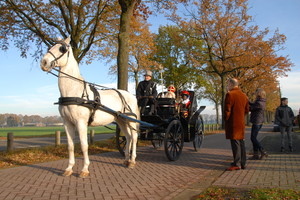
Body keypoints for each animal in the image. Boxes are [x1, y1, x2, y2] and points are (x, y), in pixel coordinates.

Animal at [39, 36, 139, 177]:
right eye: (50, 47)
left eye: (61, 49)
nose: (43, 62)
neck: (74, 91)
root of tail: (131, 95)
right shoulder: (67, 123)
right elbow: (70, 146)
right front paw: (69, 168)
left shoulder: (81, 122)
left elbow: (84, 145)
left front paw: (84, 169)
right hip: (121, 120)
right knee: (128, 137)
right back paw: (126, 160)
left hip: (130, 120)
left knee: (134, 137)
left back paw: (132, 161)